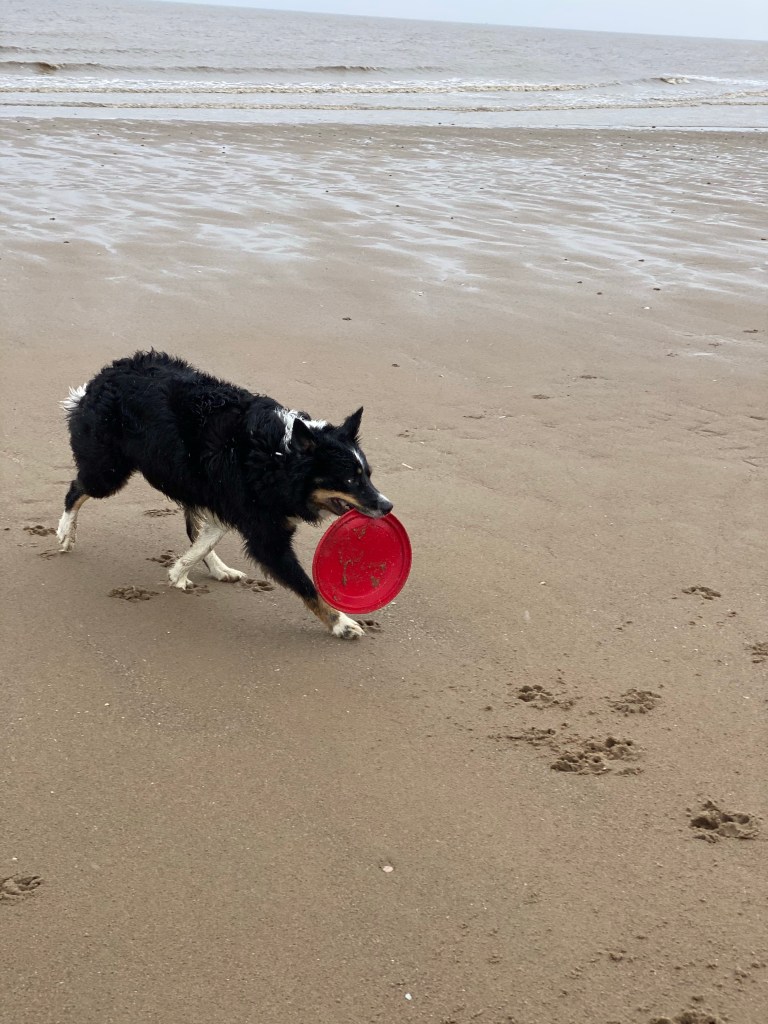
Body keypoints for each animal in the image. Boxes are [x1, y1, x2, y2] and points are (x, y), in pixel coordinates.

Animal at [57, 351, 393, 639]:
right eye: (350, 479)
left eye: (368, 474)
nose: (388, 506)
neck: (279, 457)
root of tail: (105, 375)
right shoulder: (263, 533)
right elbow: (305, 585)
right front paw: (341, 623)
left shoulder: (234, 504)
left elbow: (206, 539)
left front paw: (179, 571)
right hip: (109, 473)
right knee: (76, 490)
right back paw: (64, 533)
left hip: (190, 480)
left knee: (194, 527)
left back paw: (219, 569)